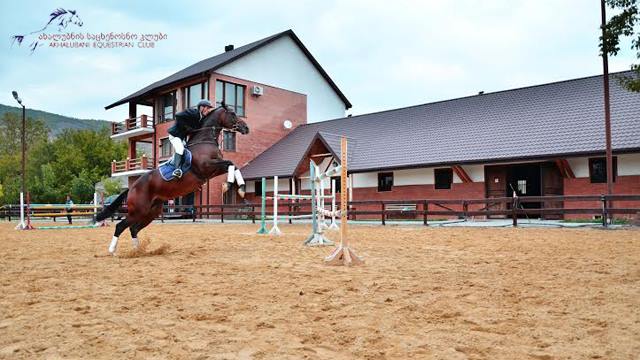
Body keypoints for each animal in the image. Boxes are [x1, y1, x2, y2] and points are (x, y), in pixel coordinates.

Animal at [96, 105, 249, 255]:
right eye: (233, 114)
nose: (246, 128)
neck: (205, 140)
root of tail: (132, 188)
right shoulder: (206, 167)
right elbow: (230, 163)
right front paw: (228, 185)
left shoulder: (214, 170)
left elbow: (233, 165)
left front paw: (240, 188)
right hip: (138, 211)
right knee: (120, 226)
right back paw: (112, 250)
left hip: (151, 212)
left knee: (133, 228)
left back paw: (137, 251)